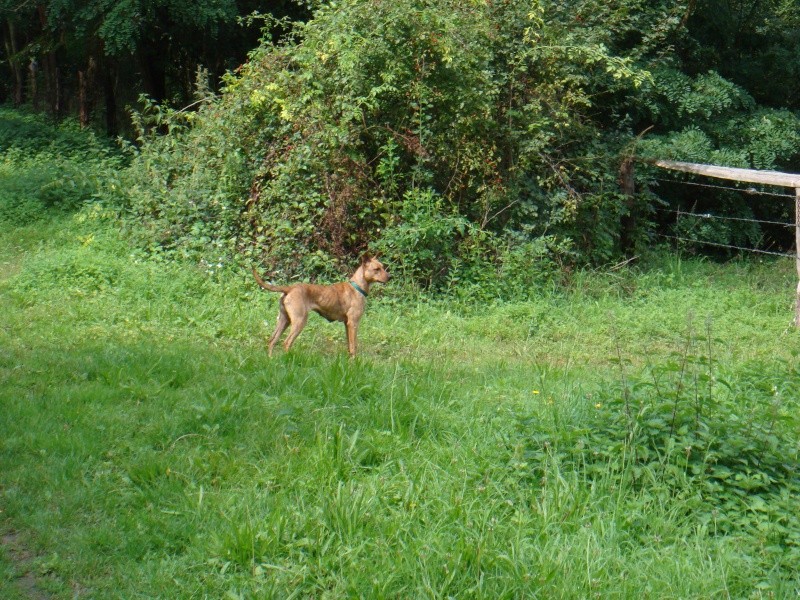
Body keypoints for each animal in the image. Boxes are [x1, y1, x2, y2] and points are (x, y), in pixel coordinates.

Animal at [253, 254, 390, 356]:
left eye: (383, 267)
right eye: (377, 269)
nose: (390, 277)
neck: (357, 287)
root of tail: (290, 288)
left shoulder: (347, 324)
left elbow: (349, 346)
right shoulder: (353, 323)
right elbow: (353, 347)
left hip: (284, 320)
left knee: (272, 340)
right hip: (299, 321)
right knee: (286, 343)